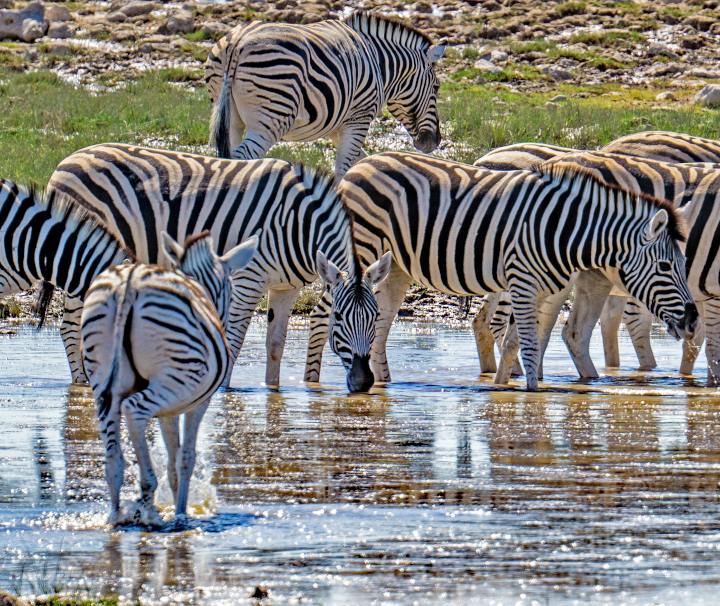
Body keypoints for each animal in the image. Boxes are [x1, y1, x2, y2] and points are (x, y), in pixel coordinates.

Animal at [43, 145, 394, 396]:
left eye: (375, 316)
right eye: (339, 317)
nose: (363, 383)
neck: (299, 225)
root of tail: (65, 162)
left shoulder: (285, 287)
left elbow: (276, 344)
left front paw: (273, 391)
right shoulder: (249, 278)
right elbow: (235, 339)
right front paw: (224, 390)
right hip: (77, 257)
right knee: (70, 325)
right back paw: (82, 384)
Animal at [81, 233, 258, 528]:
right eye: (231, 290)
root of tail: (129, 284)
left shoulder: (169, 410)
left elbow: (173, 460)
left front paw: (177, 504)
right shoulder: (197, 402)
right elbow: (185, 458)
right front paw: (181, 513)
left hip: (103, 382)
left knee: (113, 457)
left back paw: (116, 514)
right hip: (176, 377)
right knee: (135, 410)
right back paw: (149, 508)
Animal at [205, 11, 444, 179]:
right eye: (437, 87)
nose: (434, 142)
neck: (377, 62)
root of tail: (238, 42)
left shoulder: (337, 126)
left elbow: (361, 161)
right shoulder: (359, 119)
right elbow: (343, 169)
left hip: (230, 117)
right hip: (271, 119)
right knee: (243, 158)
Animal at [302, 150, 696, 392]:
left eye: (683, 264)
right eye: (665, 267)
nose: (692, 319)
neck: (565, 230)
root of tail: (360, 165)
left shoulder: (542, 289)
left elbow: (514, 344)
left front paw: (503, 388)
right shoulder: (522, 282)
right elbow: (527, 344)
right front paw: (530, 394)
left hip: (396, 266)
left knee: (381, 323)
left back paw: (384, 383)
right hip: (360, 248)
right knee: (323, 312)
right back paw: (313, 383)